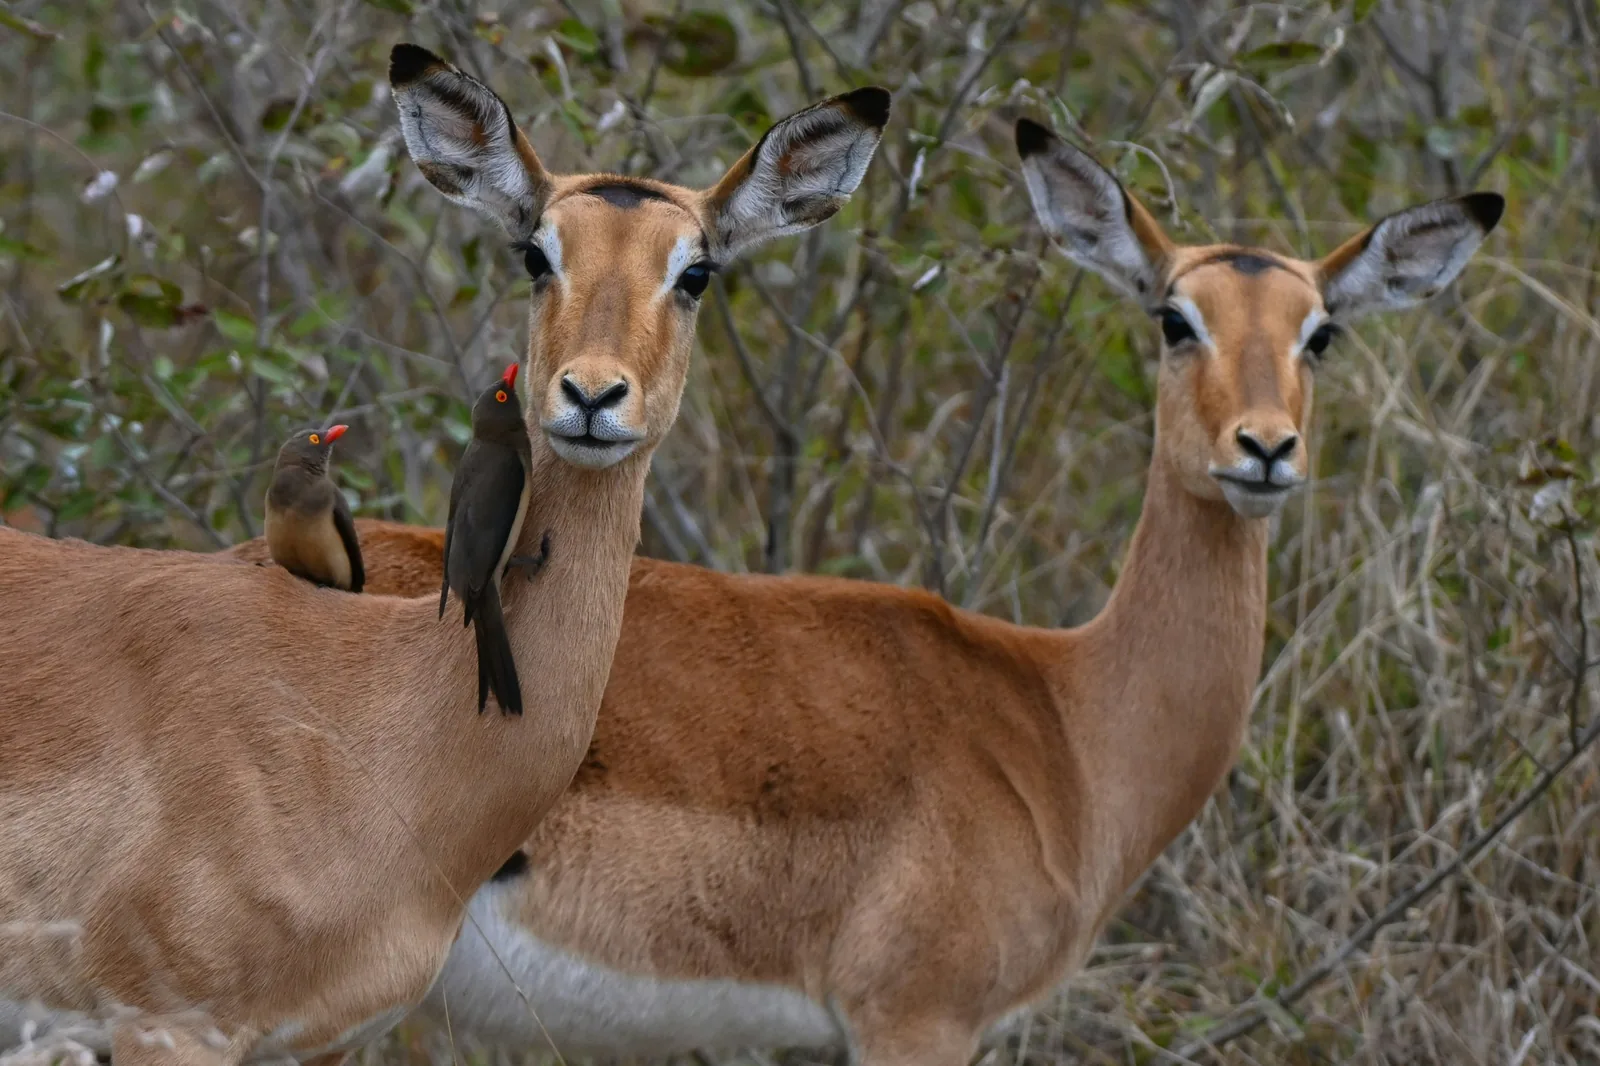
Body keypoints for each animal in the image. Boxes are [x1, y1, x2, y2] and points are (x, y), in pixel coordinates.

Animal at [0, 43, 888, 1065]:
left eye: (696, 270)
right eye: (536, 252)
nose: (592, 396)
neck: (379, 725)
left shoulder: (319, 1037)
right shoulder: (171, 1024)